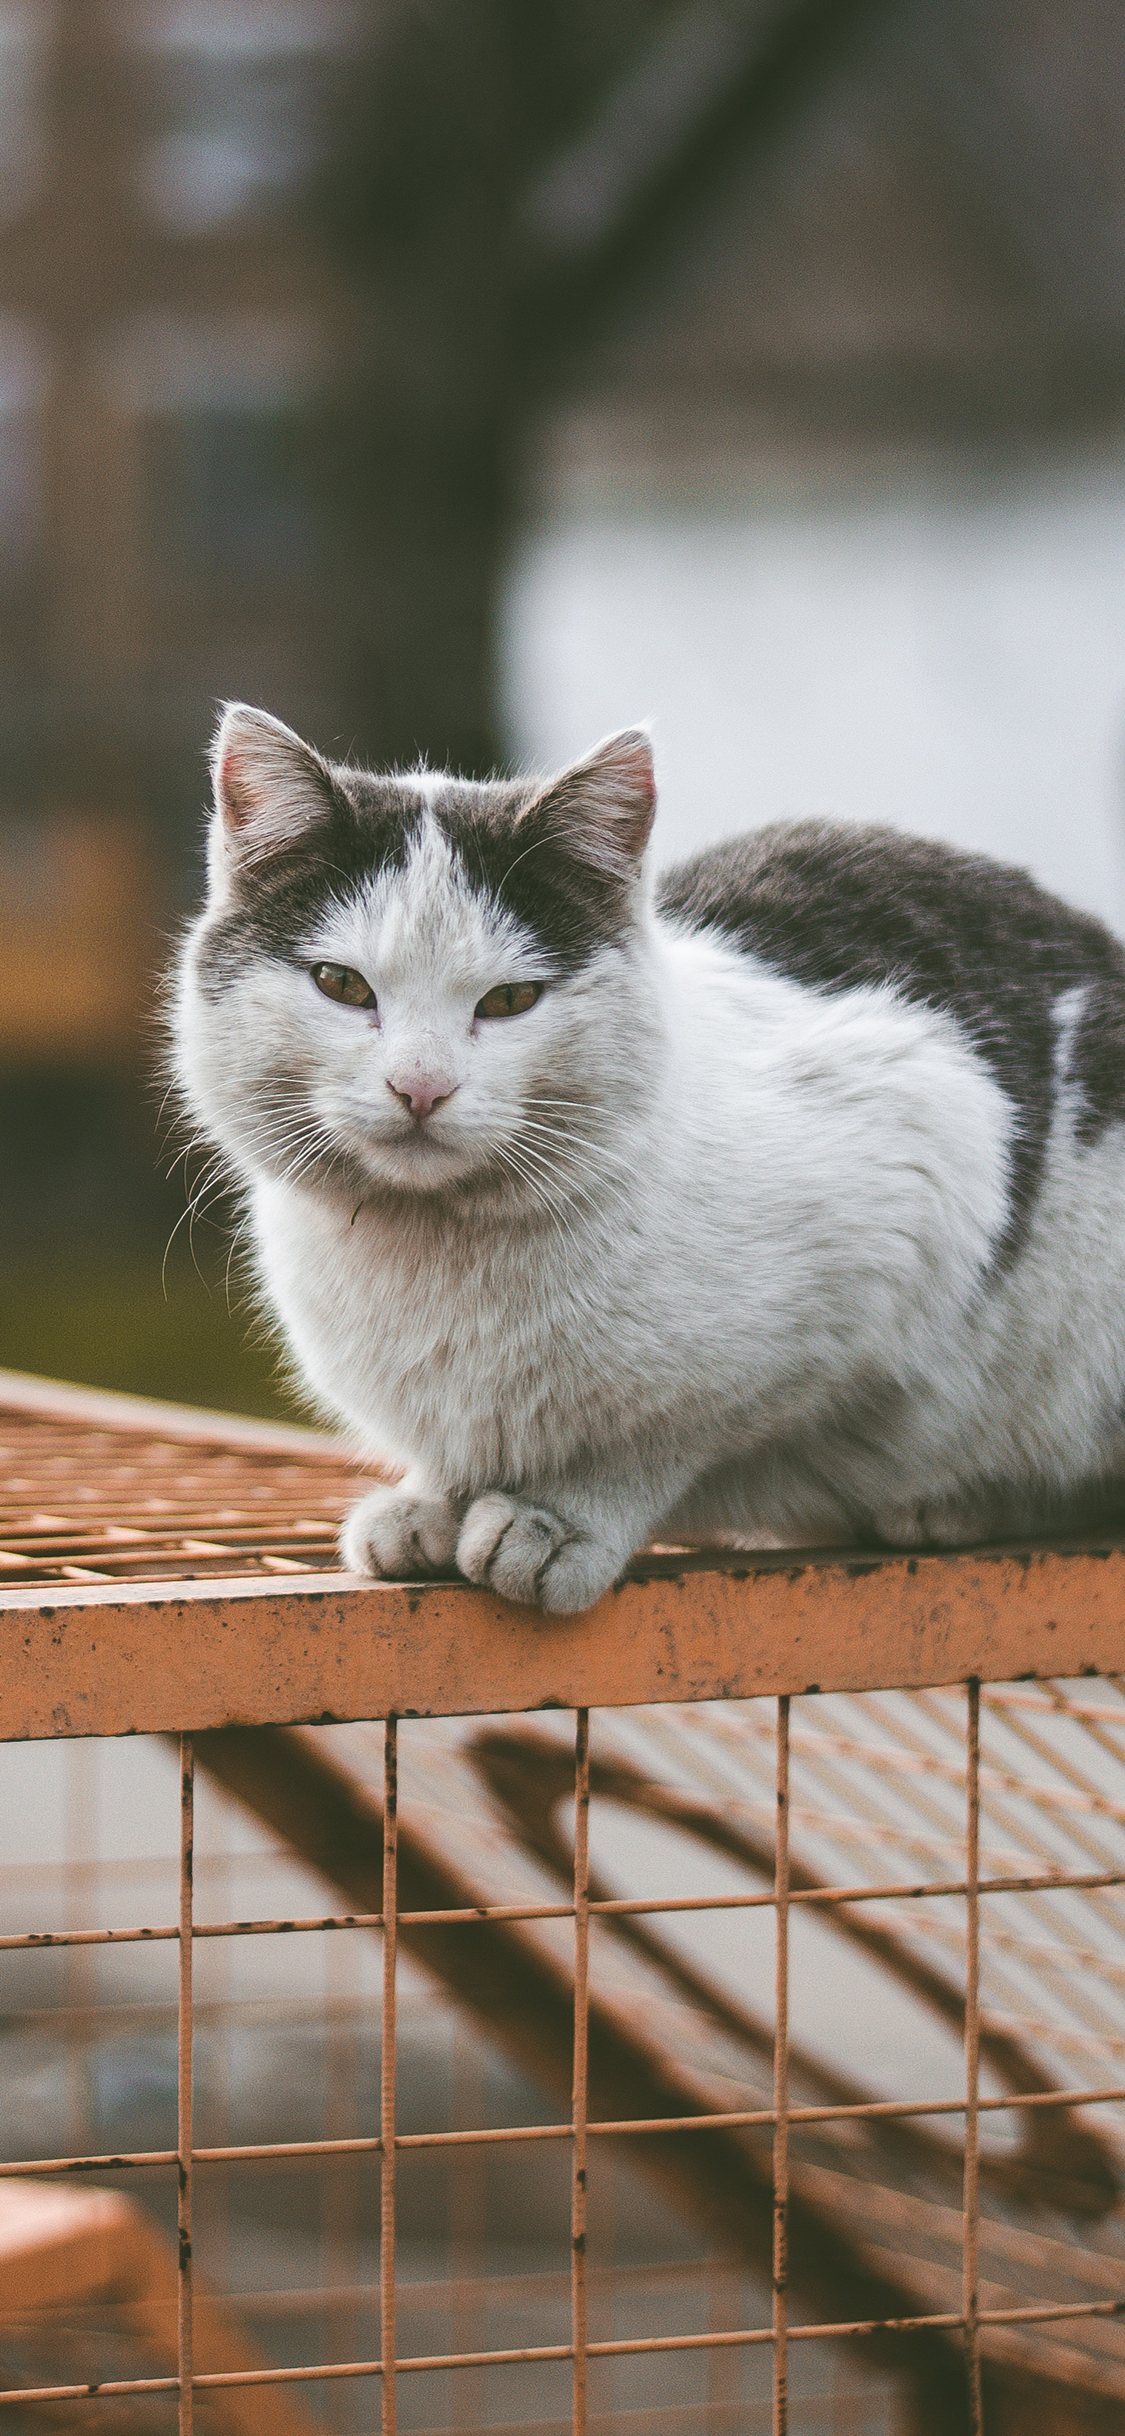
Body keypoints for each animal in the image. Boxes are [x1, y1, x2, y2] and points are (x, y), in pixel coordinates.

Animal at [171, 701, 1125, 1617]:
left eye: (510, 1001)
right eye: (341, 986)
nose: (420, 1086)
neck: (434, 1253)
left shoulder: (913, 1165)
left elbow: (661, 1435)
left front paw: (558, 1518)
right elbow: (458, 1454)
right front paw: (431, 1504)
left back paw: (955, 1503)